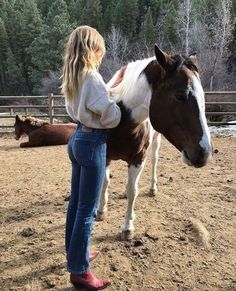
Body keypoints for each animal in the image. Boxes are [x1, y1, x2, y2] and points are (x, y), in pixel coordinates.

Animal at [97, 45, 213, 241]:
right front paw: (100, 210)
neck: (119, 117)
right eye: (181, 95)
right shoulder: (105, 155)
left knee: (153, 162)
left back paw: (152, 188)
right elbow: (105, 183)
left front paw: (128, 227)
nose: (204, 153)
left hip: (155, 143)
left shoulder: (138, 158)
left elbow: (133, 190)